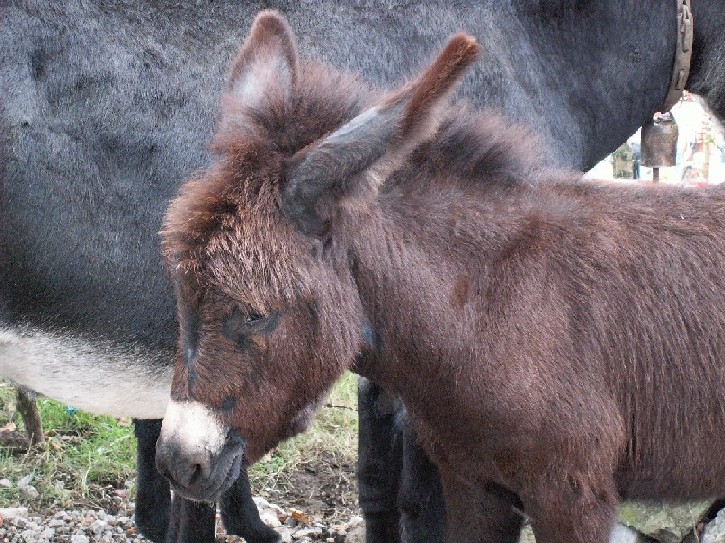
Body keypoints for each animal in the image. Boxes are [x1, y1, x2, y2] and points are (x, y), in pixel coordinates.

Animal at [156, 9, 724, 543]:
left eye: (256, 314)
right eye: (181, 292)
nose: (177, 465)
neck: (486, 311)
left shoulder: (573, 495)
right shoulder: (473, 485)